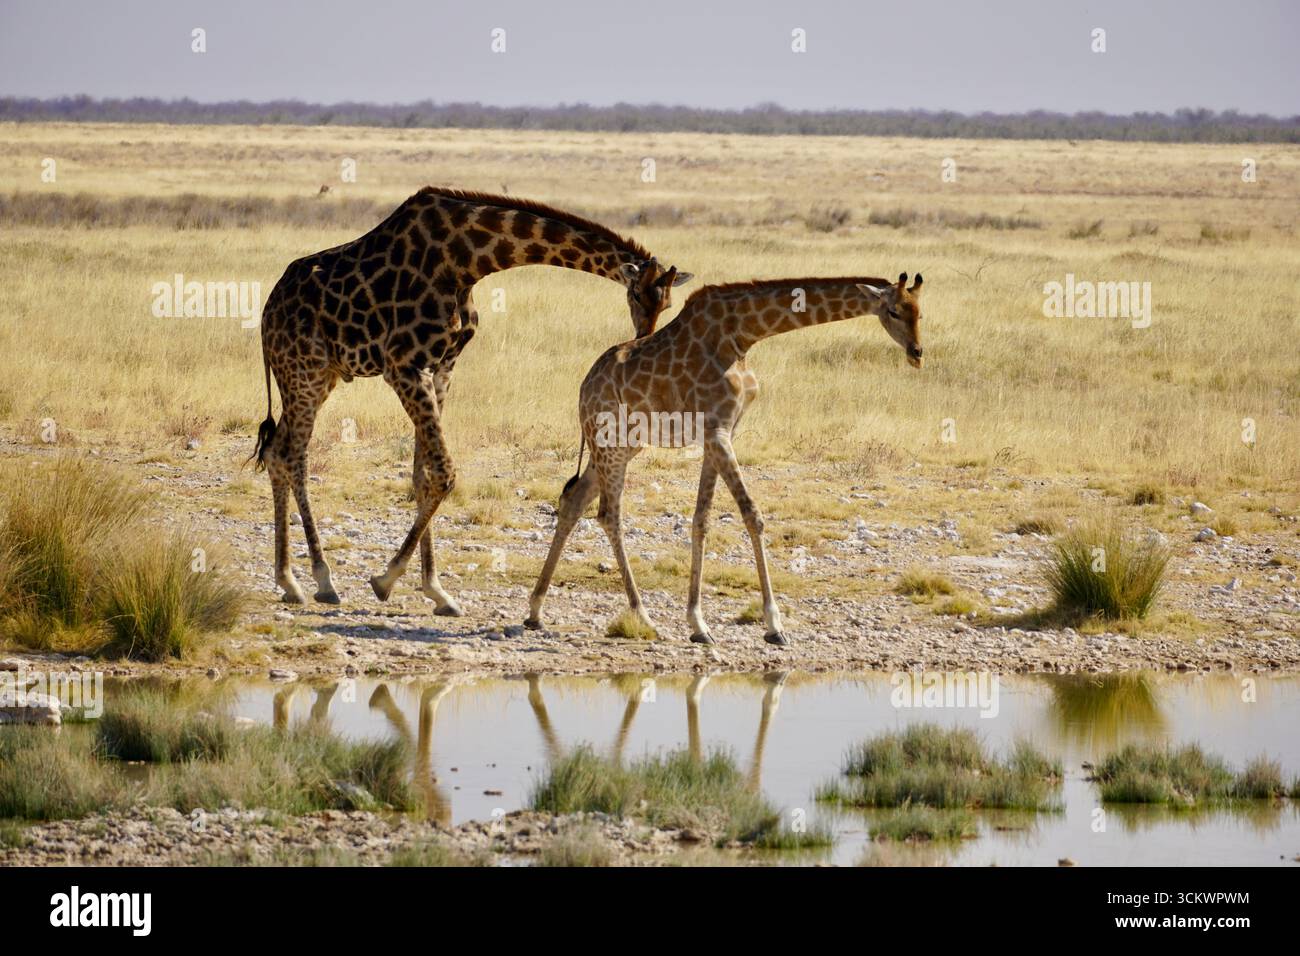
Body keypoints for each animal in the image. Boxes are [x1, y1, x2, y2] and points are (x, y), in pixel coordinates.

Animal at [251, 187, 692, 613]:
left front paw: (435, 590)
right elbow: (445, 473)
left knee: (275, 451)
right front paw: (387, 579)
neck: (466, 261)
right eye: (635, 294)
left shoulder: (442, 366)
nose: (643, 338)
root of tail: (266, 312)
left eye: (668, 303)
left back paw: (289, 581)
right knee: (294, 456)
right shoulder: (403, 367)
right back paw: (321, 580)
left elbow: (423, 474)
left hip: (318, 376)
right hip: (304, 371)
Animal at [525, 272, 924, 645]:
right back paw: (644, 617)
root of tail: (583, 387)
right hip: (609, 440)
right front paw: (773, 624)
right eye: (893, 310)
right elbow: (752, 515)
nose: (917, 352)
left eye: (920, 312)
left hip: (624, 444)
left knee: (574, 500)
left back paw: (535, 611)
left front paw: (698, 624)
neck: (743, 336)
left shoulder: (720, 432)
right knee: (609, 514)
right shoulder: (716, 431)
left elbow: (701, 520)